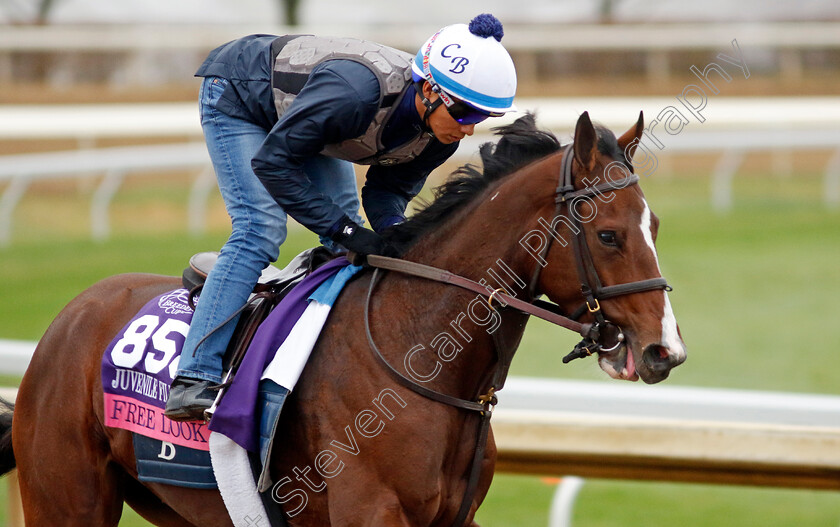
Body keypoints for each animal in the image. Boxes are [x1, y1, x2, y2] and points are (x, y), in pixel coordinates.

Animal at [0, 110, 684, 524]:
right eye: (609, 235)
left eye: (655, 225)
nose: (664, 351)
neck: (419, 358)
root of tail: (69, 316)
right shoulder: (369, 511)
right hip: (67, 500)